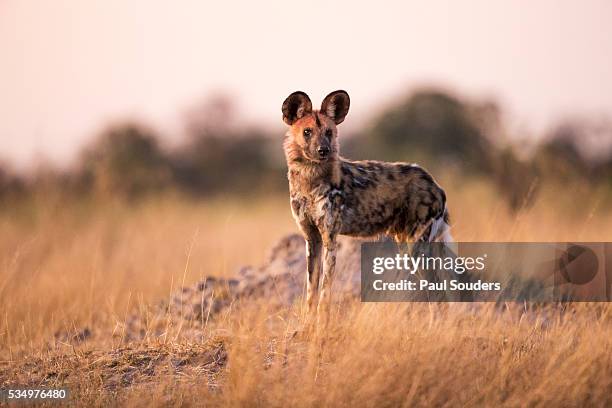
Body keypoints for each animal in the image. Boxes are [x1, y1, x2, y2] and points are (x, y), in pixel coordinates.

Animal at [282, 91, 450, 326]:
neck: (309, 180)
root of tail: (435, 184)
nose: (323, 150)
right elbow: (311, 293)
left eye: (329, 132)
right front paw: (306, 326)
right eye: (307, 132)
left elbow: (324, 294)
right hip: (404, 243)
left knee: (437, 294)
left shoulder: (330, 239)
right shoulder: (312, 239)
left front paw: (320, 327)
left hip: (415, 248)